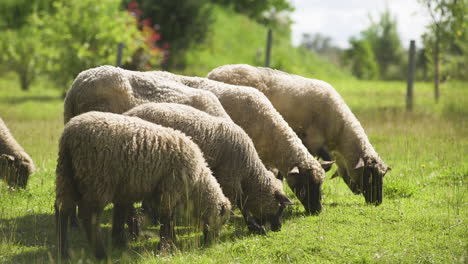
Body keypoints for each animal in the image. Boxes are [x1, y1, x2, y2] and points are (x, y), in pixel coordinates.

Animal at [54, 111, 230, 260]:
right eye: (222, 220)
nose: (211, 244)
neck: (197, 182)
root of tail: (69, 135)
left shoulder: (126, 191)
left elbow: (121, 215)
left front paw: (120, 243)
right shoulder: (170, 189)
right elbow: (166, 218)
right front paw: (164, 248)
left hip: (67, 175)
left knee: (63, 210)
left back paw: (64, 252)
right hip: (97, 179)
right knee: (89, 217)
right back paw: (100, 254)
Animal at [124, 102, 292, 233]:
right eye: (280, 207)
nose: (278, 228)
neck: (248, 170)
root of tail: (128, 113)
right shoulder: (230, 177)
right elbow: (240, 202)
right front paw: (253, 226)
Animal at [208, 64, 392, 204]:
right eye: (370, 176)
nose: (377, 202)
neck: (340, 129)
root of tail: (213, 72)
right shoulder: (313, 140)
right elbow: (326, 164)